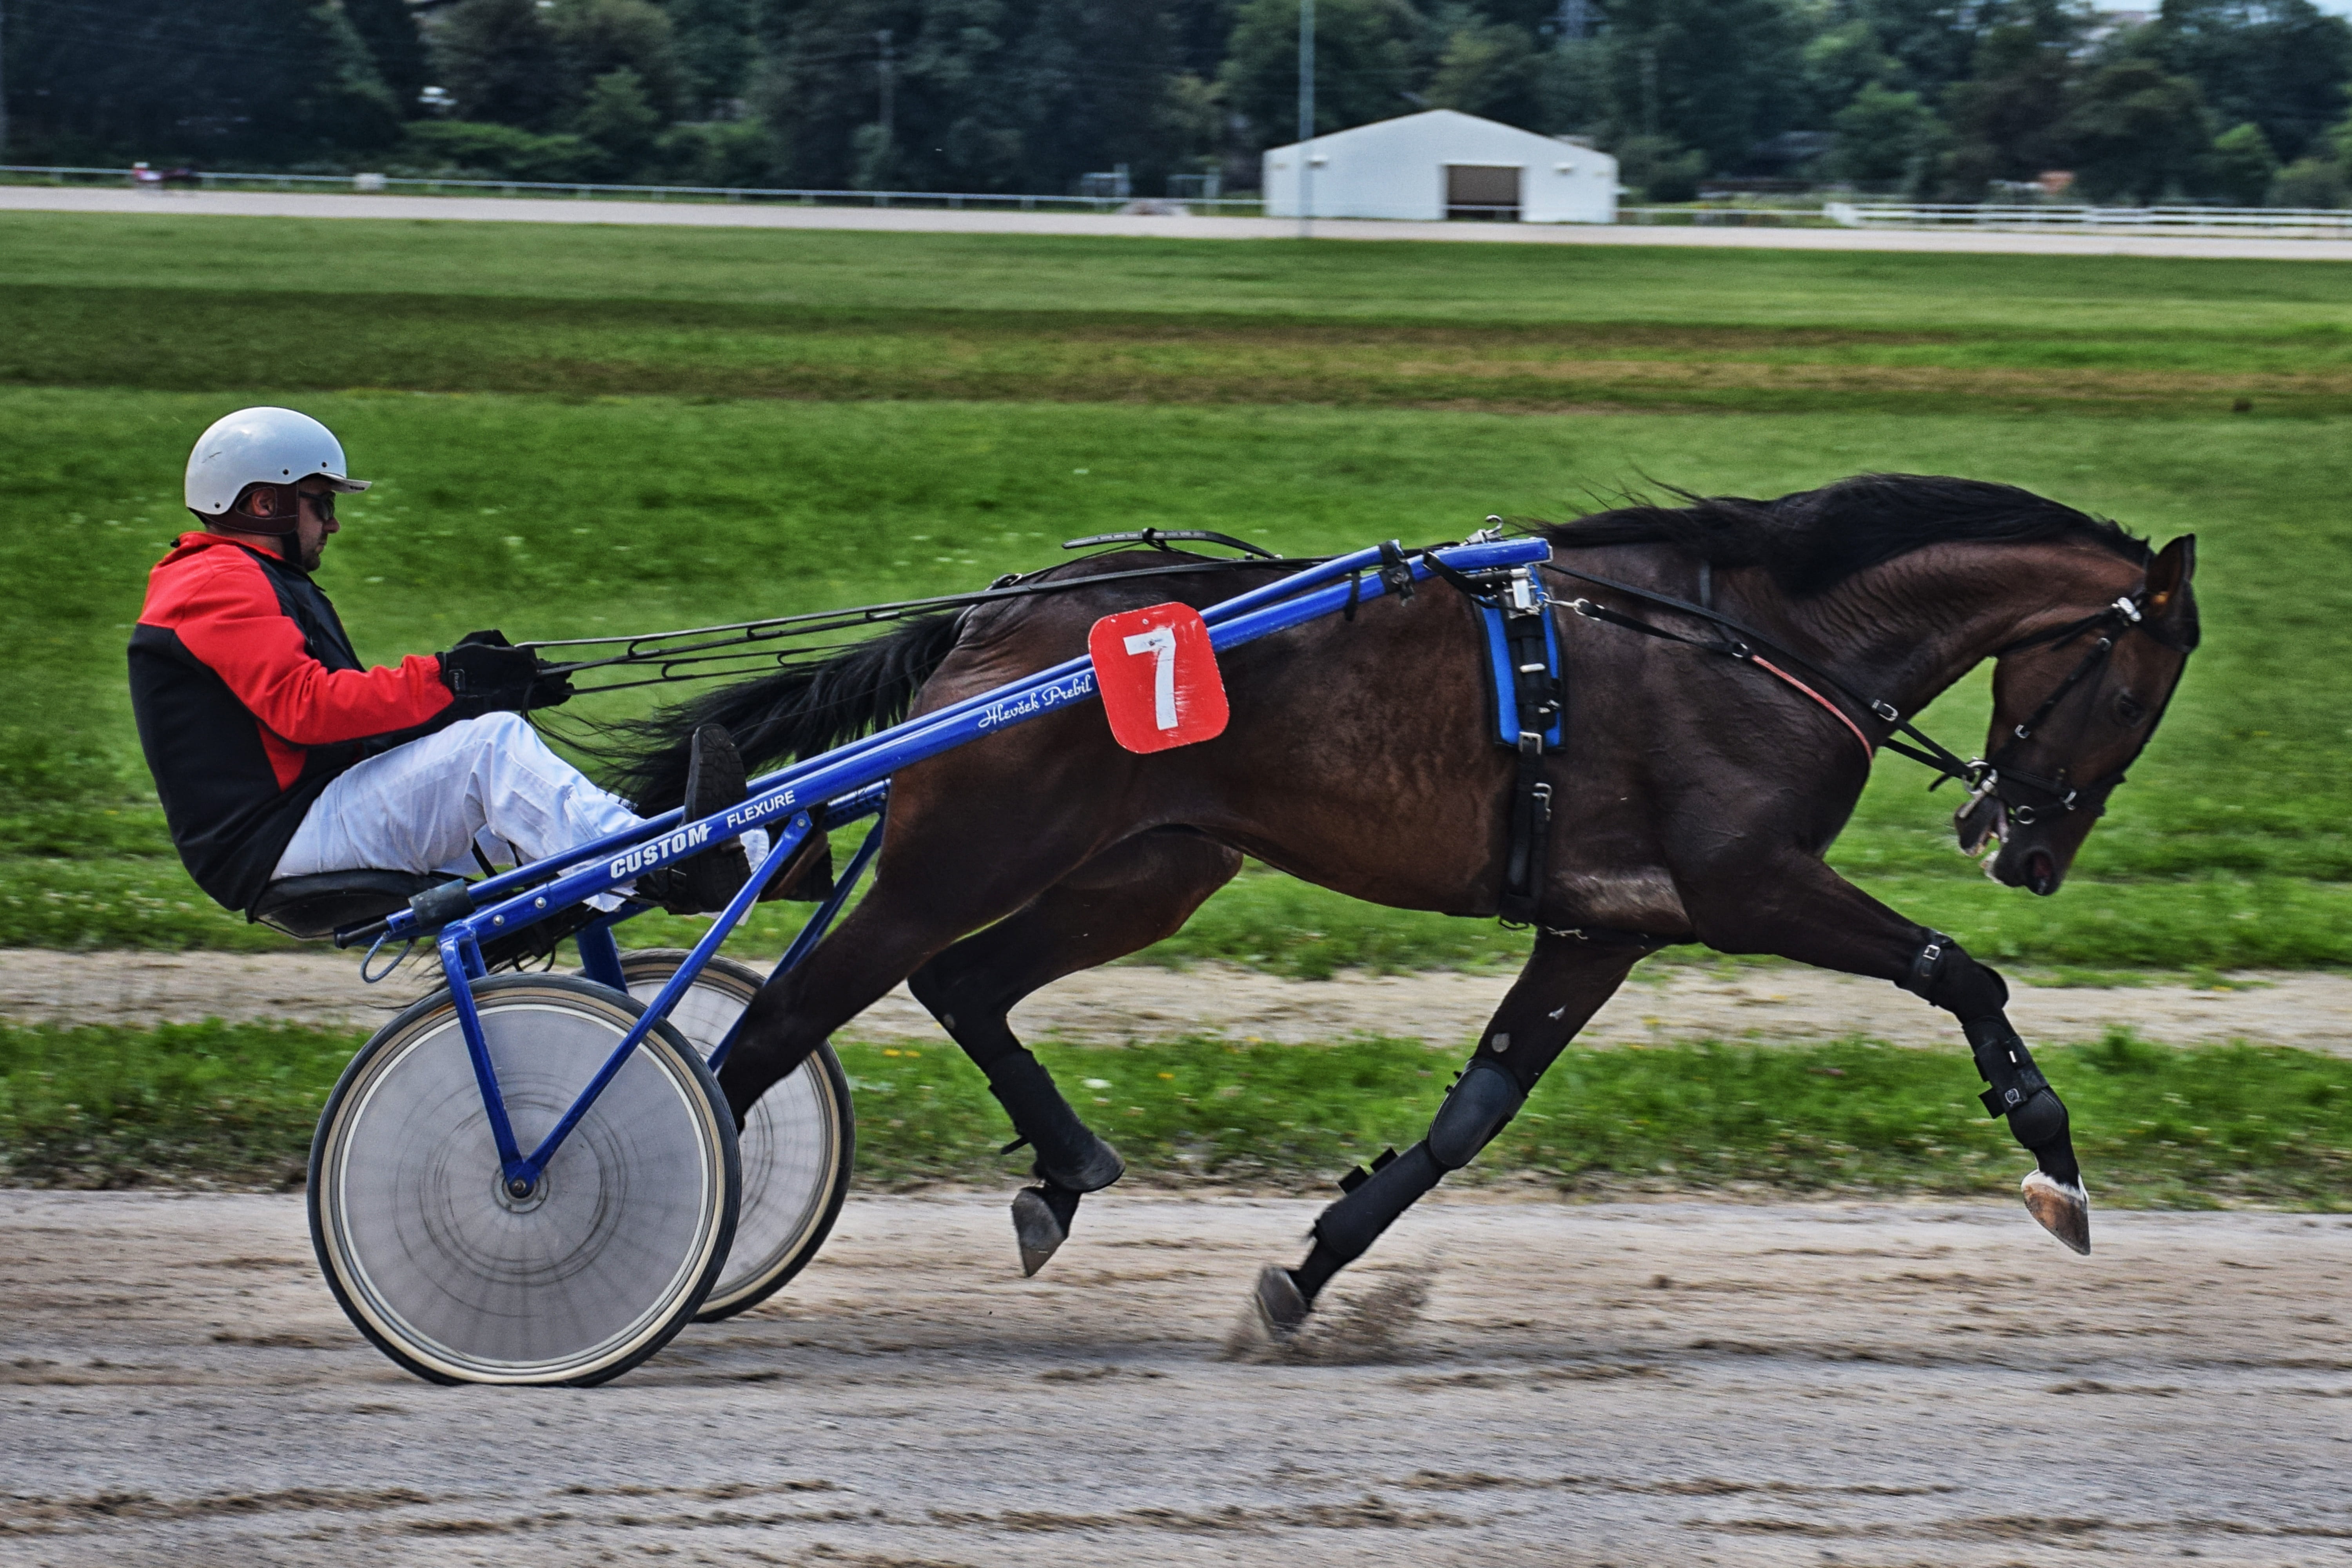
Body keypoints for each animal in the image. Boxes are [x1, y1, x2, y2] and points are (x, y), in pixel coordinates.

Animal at [609, 473, 2200, 1334]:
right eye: (2135, 690)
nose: (2025, 846)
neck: (1764, 633)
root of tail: (1000, 617)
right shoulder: (1747, 881)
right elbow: (1958, 973)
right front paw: (2050, 1155)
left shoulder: (1604, 924)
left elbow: (1471, 1113)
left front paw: (1312, 1268)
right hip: (967, 851)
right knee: (773, 1031)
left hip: (1149, 863)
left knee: (966, 984)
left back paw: (1062, 1170)